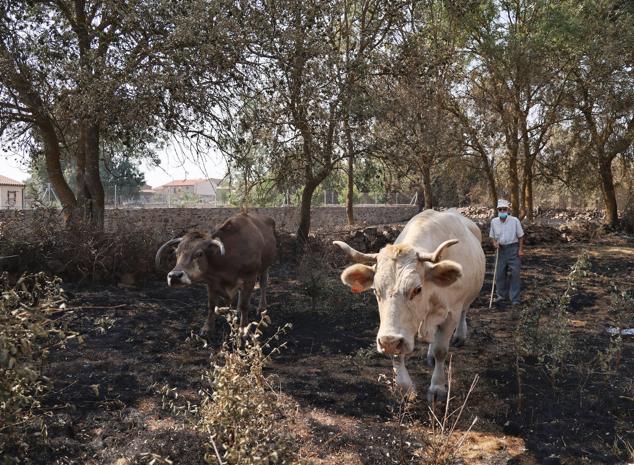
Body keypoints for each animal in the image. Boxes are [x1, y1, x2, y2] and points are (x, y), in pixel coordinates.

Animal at [330, 209, 484, 398]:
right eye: (376, 290)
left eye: (417, 289)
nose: (388, 342)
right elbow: (398, 355)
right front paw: (404, 387)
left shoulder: (451, 313)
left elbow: (441, 350)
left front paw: (437, 387)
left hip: (467, 298)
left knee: (464, 312)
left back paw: (459, 336)